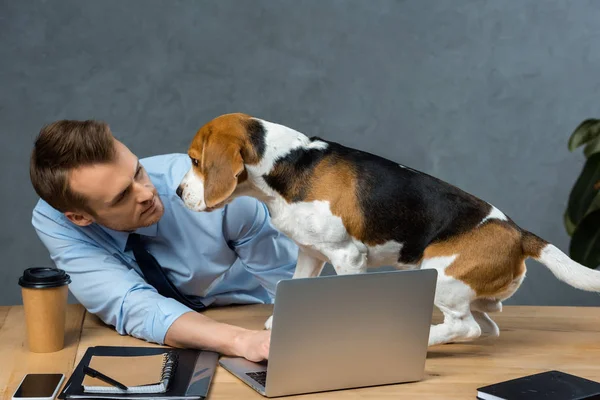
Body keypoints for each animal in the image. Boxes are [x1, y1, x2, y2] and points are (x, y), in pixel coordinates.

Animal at [176, 112, 600, 346]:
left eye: (195, 161)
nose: (178, 193)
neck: (287, 162)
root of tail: (519, 232)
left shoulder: (347, 256)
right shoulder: (311, 254)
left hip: (440, 273)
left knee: (467, 329)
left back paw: (425, 337)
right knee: (488, 321)